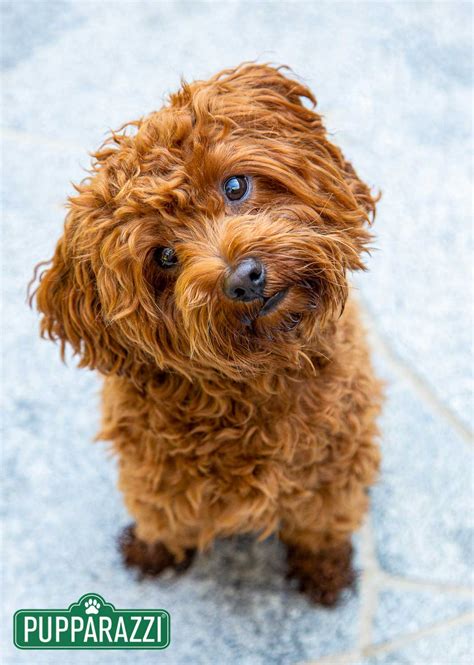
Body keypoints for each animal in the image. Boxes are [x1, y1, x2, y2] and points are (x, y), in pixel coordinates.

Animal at [31, 65, 382, 604]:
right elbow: (163, 517)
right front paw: (154, 551)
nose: (245, 278)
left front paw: (324, 571)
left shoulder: (334, 465)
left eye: (235, 186)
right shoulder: (153, 474)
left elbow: (323, 522)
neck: (253, 386)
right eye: (164, 257)